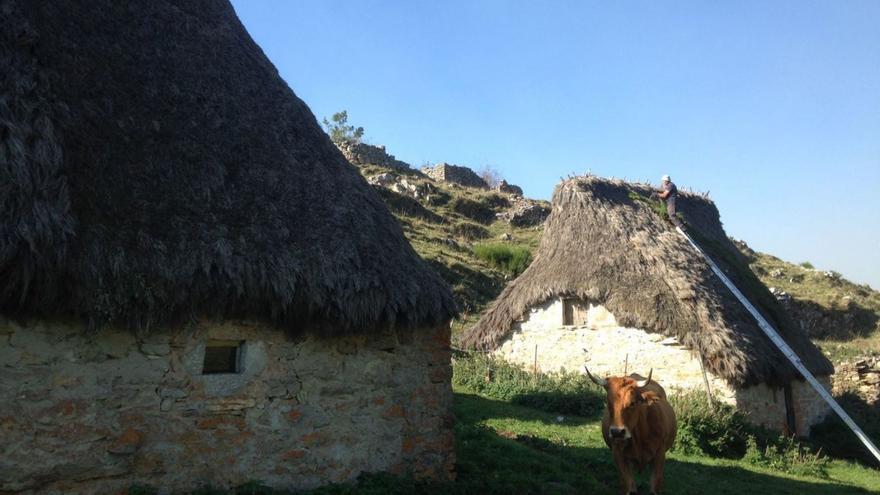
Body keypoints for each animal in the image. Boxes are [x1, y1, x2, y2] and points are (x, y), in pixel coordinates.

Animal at [588, 366, 676, 494]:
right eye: (609, 403)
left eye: (633, 403)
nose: (617, 432)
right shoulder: (618, 454)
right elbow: (629, 485)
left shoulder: (660, 454)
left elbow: (654, 486)